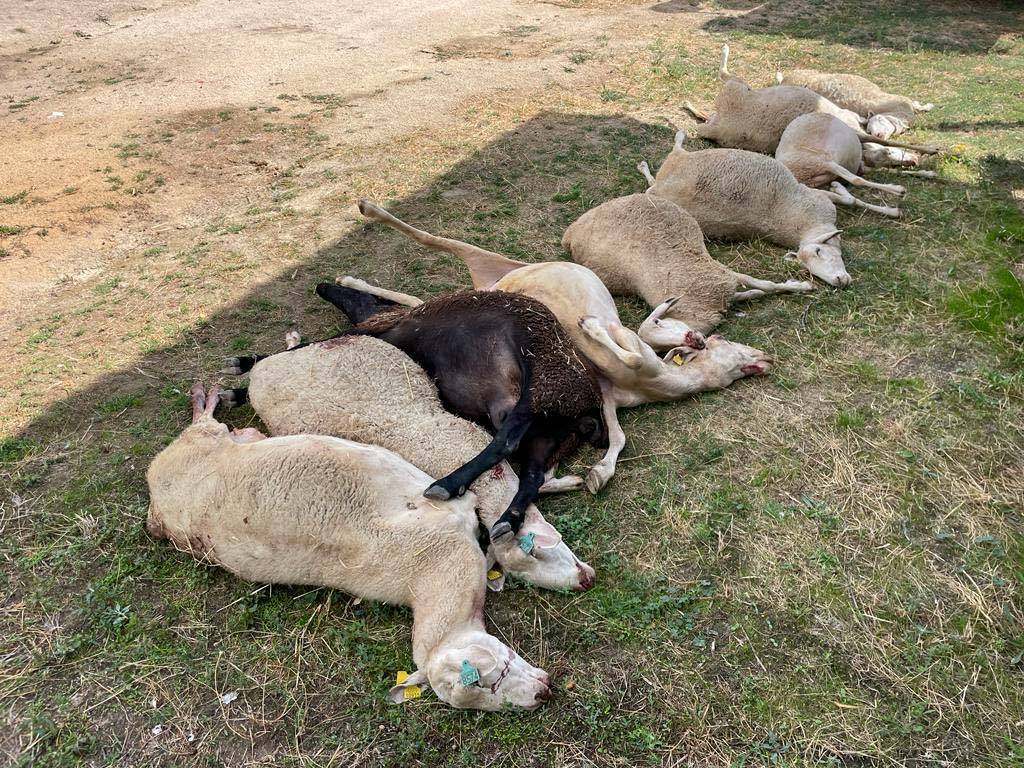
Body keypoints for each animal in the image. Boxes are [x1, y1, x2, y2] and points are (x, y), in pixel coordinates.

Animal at [146, 382, 552, 712]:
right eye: (483, 686)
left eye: (486, 675)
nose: (541, 694)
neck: (429, 573)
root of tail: (155, 508)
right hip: (195, 452)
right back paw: (206, 400)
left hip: (203, 444)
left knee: (210, 426)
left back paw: (206, 398)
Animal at [220, 333, 598, 593]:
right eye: (530, 556)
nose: (586, 582)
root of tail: (262, 375)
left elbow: (529, 478)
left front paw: (566, 482)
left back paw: (246, 367)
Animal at [638, 132, 847, 288]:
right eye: (818, 251)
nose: (840, 281)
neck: (810, 226)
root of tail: (662, 184)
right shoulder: (817, 197)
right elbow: (849, 199)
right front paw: (839, 187)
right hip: (679, 159)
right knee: (675, 149)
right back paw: (675, 138)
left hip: (667, 176)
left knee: (652, 182)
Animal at [774, 68, 937, 140]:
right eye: (869, 131)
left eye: (879, 120)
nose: (878, 136)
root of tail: (784, 80)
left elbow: (917, 105)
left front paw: (927, 106)